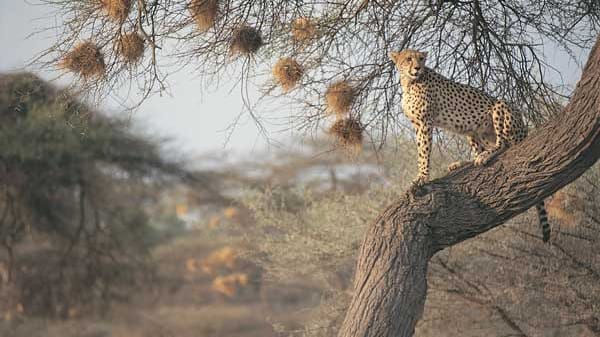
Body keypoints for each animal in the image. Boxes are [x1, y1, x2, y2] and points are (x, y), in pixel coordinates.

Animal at [392, 48, 552, 242]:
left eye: (421, 59)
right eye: (409, 59)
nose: (417, 68)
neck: (409, 81)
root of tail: (524, 130)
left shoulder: (424, 123)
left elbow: (423, 152)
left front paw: (422, 177)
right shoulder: (417, 124)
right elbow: (420, 151)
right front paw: (422, 175)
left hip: (499, 106)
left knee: (503, 144)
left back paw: (485, 156)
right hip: (472, 130)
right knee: (481, 149)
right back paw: (462, 163)